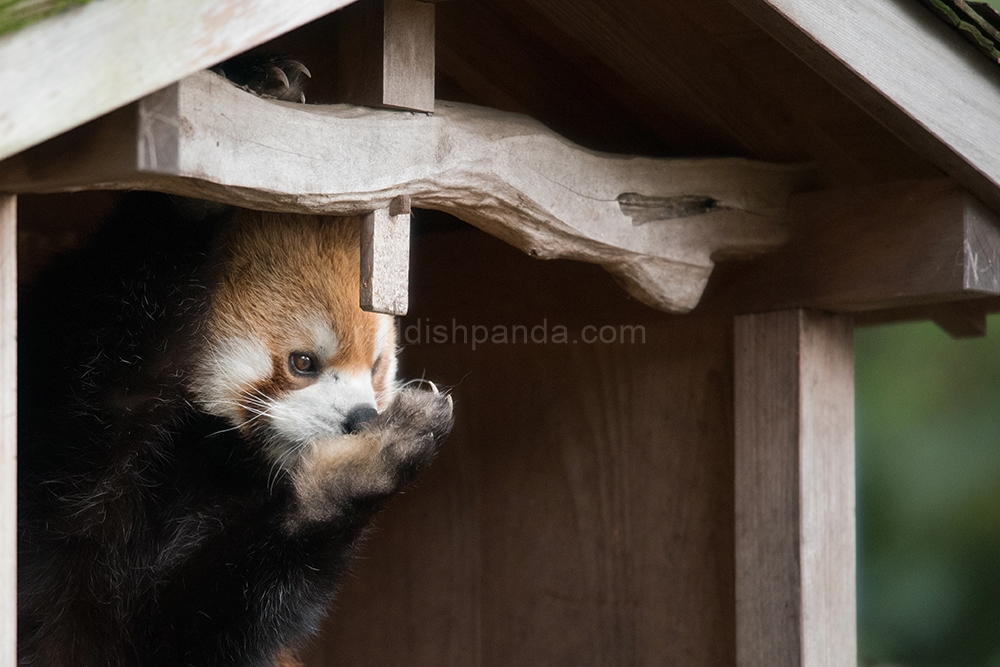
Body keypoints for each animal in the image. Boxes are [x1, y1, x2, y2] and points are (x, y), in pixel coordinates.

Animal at [17, 54, 454, 667]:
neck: (199, 453)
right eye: (302, 362)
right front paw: (202, 170)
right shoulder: (62, 418)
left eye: (375, 369)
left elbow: (206, 623)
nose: (362, 418)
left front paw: (360, 470)